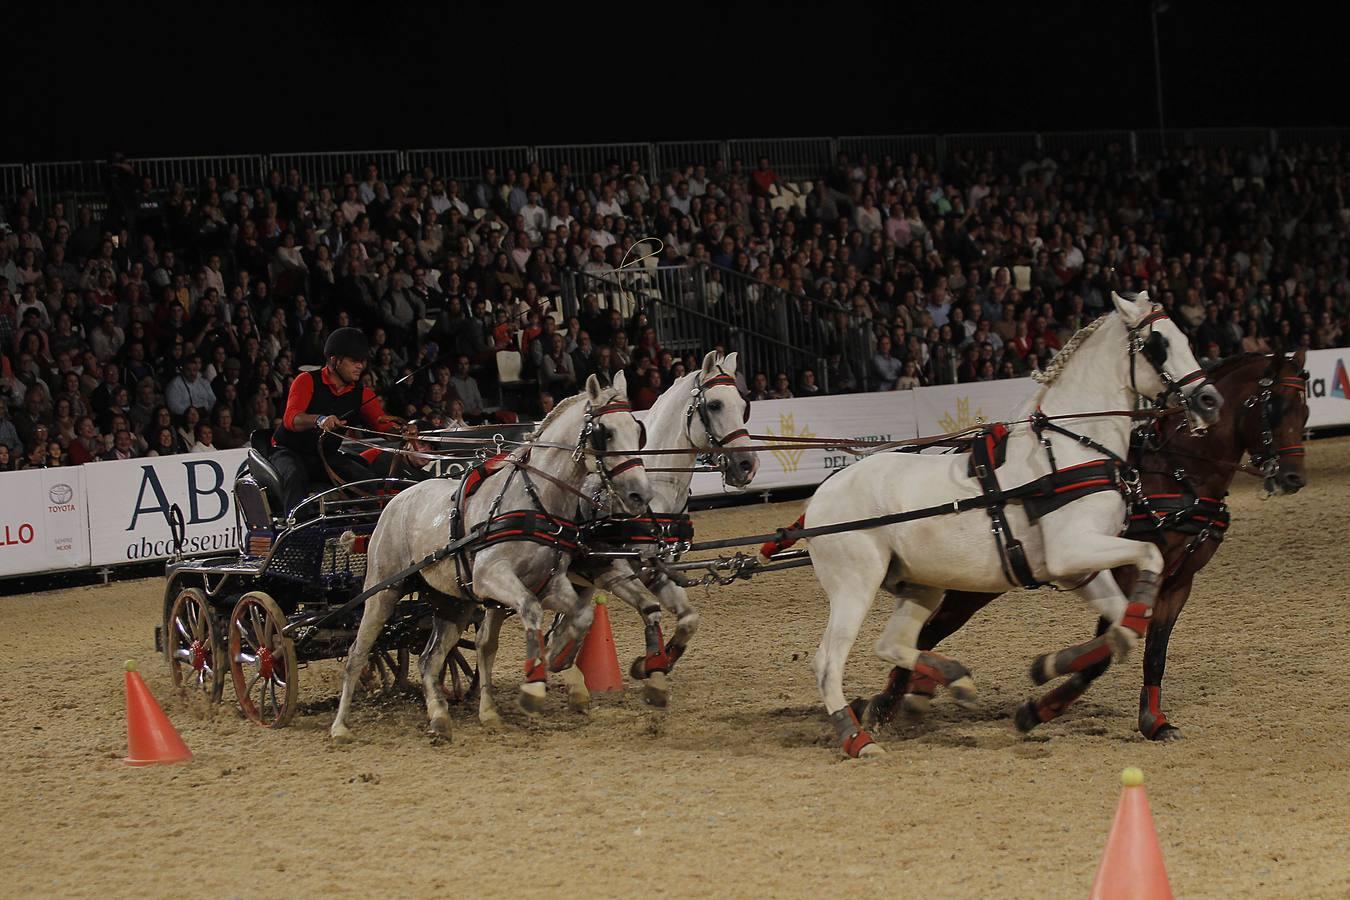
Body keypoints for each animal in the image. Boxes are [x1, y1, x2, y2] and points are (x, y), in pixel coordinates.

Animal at [334, 369, 656, 744]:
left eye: (637, 428)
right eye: (605, 432)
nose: (640, 494)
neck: (533, 499)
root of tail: (395, 499)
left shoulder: (551, 583)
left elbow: (582, 615)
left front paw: (560, 664)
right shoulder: (492, 577)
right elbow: (529, 613)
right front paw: (534, 686)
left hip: (453, 604)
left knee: (430, 659)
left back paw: (439, 717)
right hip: (383, 592)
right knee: (358, 653)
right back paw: (340, 726)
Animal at [799, 292, 1225, 755]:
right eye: (1157, 345)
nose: (1210, 401)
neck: (1071, 450)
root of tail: (822, 495)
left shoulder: (1080, 566)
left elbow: (1126, 625)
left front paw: (1047, 668)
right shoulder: (1074, 550)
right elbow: (1148, 559)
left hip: (919, 585)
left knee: (892, 643)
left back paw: (953, 682)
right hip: (855, 585)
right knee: (827, 662)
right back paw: (858, 738)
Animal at [853, 350, 1306, 739]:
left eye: (1305, 409)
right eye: (1276, 406)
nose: (1292, 478)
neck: (1178, 473)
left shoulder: (1179, 582)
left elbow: (1154, 653)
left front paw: (1155, 721)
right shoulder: (1125, 573)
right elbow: (1108, 649)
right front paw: (1040, 706)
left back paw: (906, 694)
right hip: (971, 588)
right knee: (929, 632)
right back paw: (887, 703)